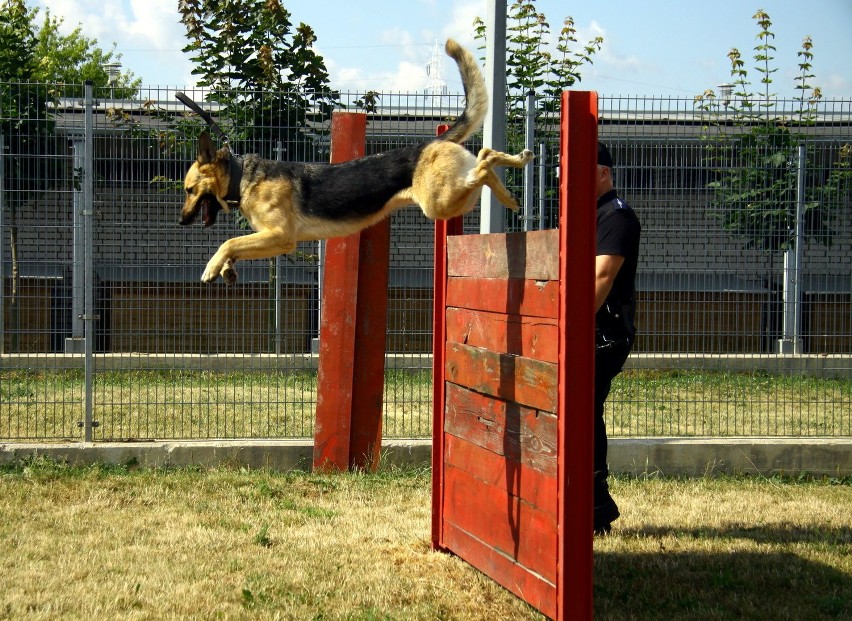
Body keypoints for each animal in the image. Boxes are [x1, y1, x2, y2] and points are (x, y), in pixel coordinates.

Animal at [181, 37, 532, 284]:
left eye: (188, 190)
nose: (182, 222)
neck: (242, 176)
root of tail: (434, 141)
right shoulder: (272, 240)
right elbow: (235, 245)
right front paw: (226, 270)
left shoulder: (280, 237)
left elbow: (229, 242)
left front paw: (212, 267)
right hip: (452, 201)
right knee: (485, 159)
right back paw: (513, 185)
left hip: (439, 203)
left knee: (484, 163)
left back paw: (513, 173)